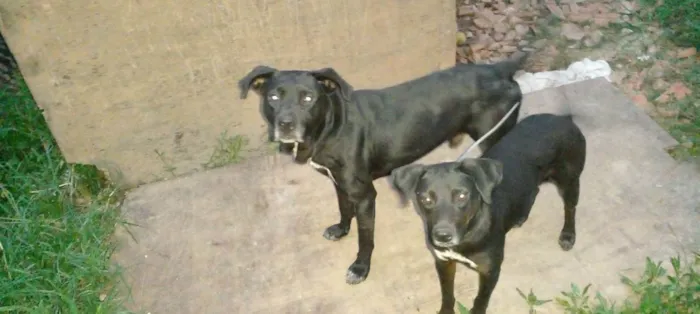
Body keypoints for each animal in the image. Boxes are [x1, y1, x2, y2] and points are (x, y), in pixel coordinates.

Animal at [238, 53, 528, 284]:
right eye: (273, 97)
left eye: (308, 98)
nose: (286, 125)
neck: (333, 125)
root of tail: (499, 68)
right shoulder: (339, 182)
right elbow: (344, 208)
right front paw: (341, 229)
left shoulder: (365, 195)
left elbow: (365, 238)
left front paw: (360, 268)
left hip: (496, 135)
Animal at [388, 113, 584, 314]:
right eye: (426, 199)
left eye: (461, 195)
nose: (443, 236)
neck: (468, 234)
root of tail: (562, 118)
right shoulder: (444, 262)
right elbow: (447, 294)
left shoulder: (490, 271)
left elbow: (481, 299)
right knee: (534, 190)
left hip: (569, 180)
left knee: (570, 208)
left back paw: (568, 234)